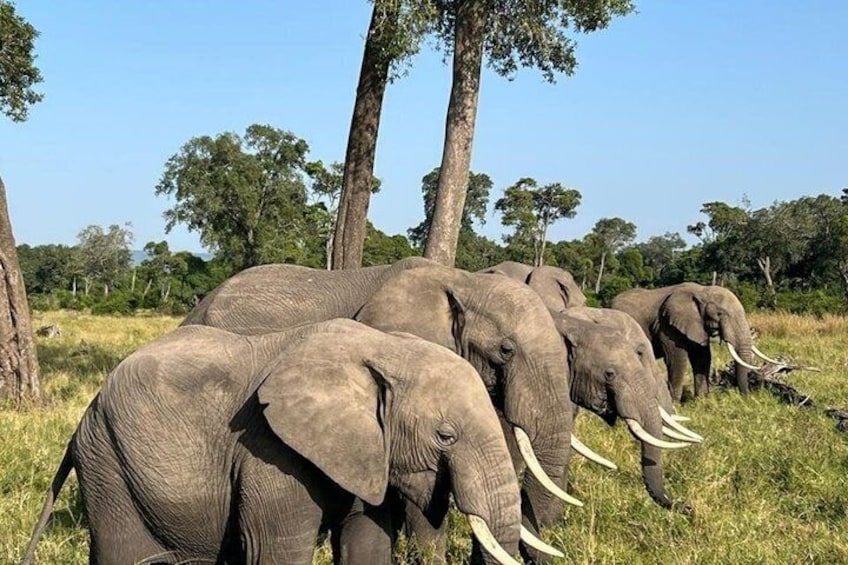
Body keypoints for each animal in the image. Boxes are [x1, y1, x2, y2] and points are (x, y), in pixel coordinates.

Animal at [22, 320, 531, 565]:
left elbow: (366, 545)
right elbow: (274, 550)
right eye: (445, 436)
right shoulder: (270, 451)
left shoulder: (365, 453)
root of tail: (86, 412)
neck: (383, 347)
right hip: (108, 464)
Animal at [611, 282, 770, 402]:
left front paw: (702, 401)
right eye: (720, 314)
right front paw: (675, 405)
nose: (747, 398)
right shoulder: (667, 325)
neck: (702, 290)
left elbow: (702, 358)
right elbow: (677, 360)